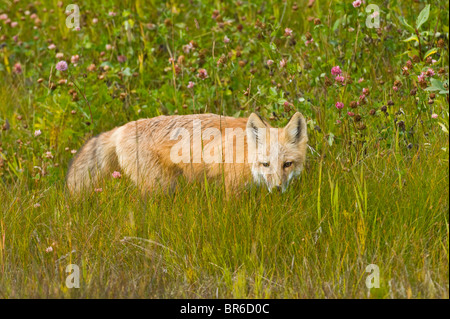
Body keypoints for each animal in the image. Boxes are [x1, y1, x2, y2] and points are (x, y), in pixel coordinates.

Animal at [67, 112, 308, 195]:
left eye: (287, 164)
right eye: (266, 164)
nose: (277, 190)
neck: (245, 154)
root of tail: (121, 128)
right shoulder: (232, 189)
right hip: (159, 186)